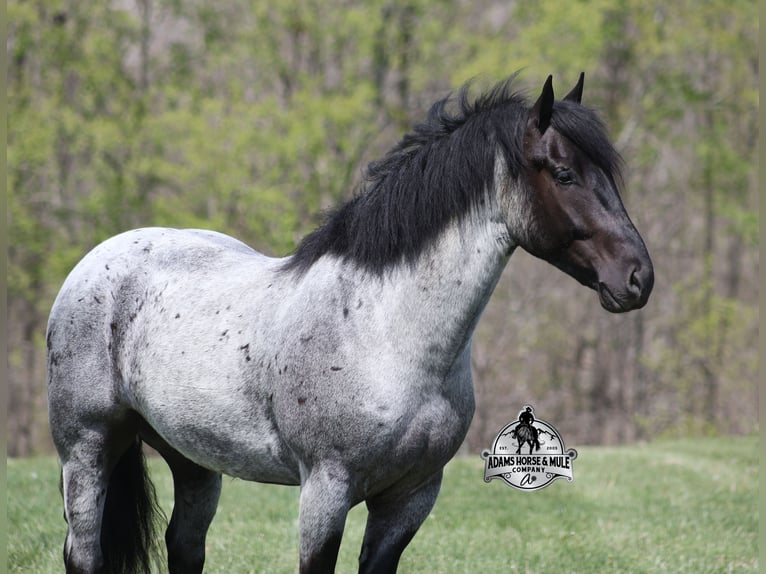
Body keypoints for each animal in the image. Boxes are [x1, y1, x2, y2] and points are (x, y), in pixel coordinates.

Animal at [47, 72, 653, 574]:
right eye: (565, 173)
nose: (638, 278)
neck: (382, 332)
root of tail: (96, 261)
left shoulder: (411, 497)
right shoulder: (325, 489)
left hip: (192, 459)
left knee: (184, 546)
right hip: (87, 449)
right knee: (84, 553)